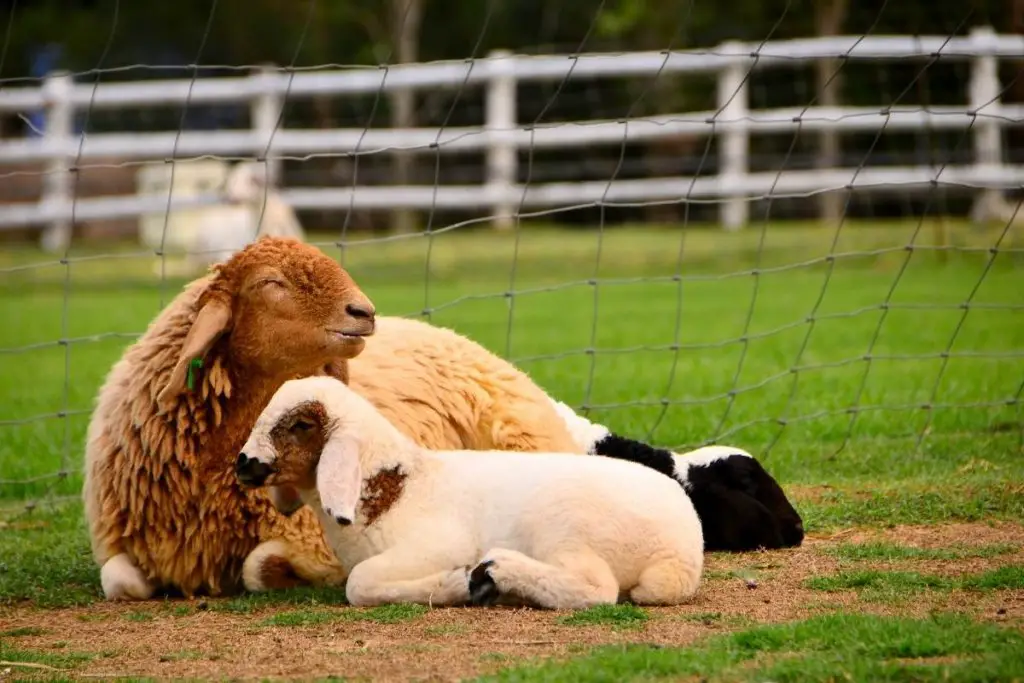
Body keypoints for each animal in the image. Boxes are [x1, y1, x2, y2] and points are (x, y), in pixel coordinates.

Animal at [235, 376, 708, 610]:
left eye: (300, 425)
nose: (242, 464)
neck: (395, 489)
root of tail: (682, 551)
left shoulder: (437, 545)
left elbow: (359, 583)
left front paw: (458, 583)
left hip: (565, 528)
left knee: (596, 589)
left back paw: (496, 573)